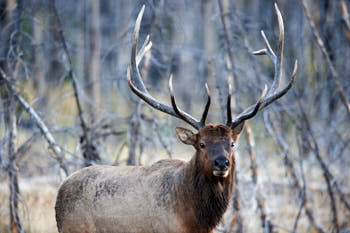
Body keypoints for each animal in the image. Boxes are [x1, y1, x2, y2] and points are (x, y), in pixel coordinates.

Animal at [55, 4, 298, 233]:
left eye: (232, 143)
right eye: (201, 144)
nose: (222, 162)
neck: (195, 220)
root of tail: (59, 194)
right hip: (74, 227)